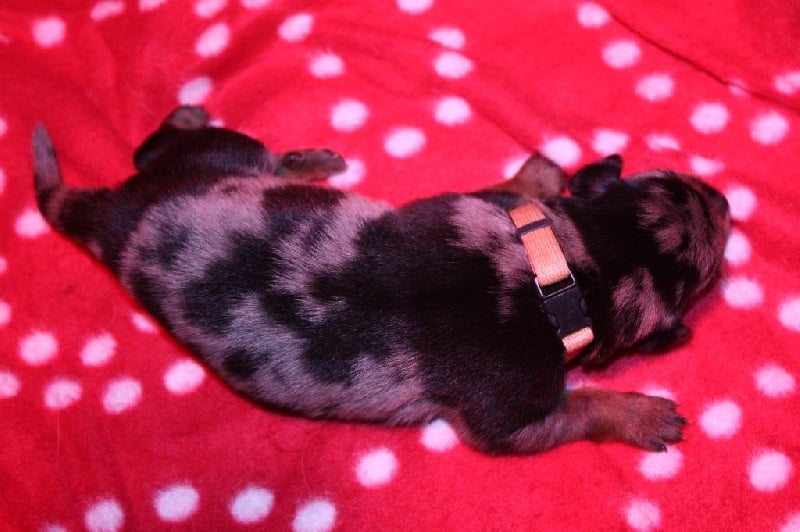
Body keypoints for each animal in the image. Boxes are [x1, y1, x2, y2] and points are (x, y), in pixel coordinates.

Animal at [32, 106, 730, 454]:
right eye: (710, 267)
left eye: (668, 180)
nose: (726, 200)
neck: (560, 271)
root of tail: (119, 216)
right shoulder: (507, 419)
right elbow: (579, 409)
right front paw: (641, 414)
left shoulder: (478, 207)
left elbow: (505, 189)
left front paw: (539, 174)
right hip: (220, 154)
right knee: (188, 137)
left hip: (194, 162)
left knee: (153, 146)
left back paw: (300, 159)